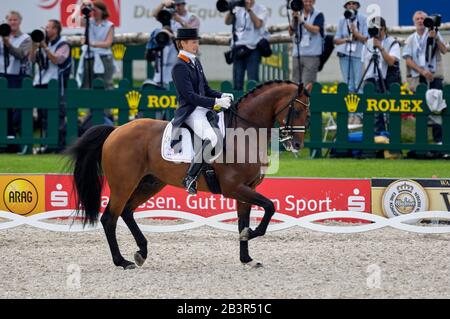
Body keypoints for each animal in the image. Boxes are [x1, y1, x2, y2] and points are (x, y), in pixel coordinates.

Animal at [67, 80, 312, 270]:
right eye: (298, 111)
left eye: (308, 113)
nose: (297, 145)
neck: (244, 134)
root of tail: (116, 130)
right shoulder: (235, 188)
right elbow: (270, 207)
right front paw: (249, 235)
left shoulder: (247, 189)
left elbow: (244, 220)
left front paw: (247, 258)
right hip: (124, 184)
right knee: (110, 218)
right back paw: (122, 261)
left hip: (150, 183)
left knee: (127, 212)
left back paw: (141, 252)